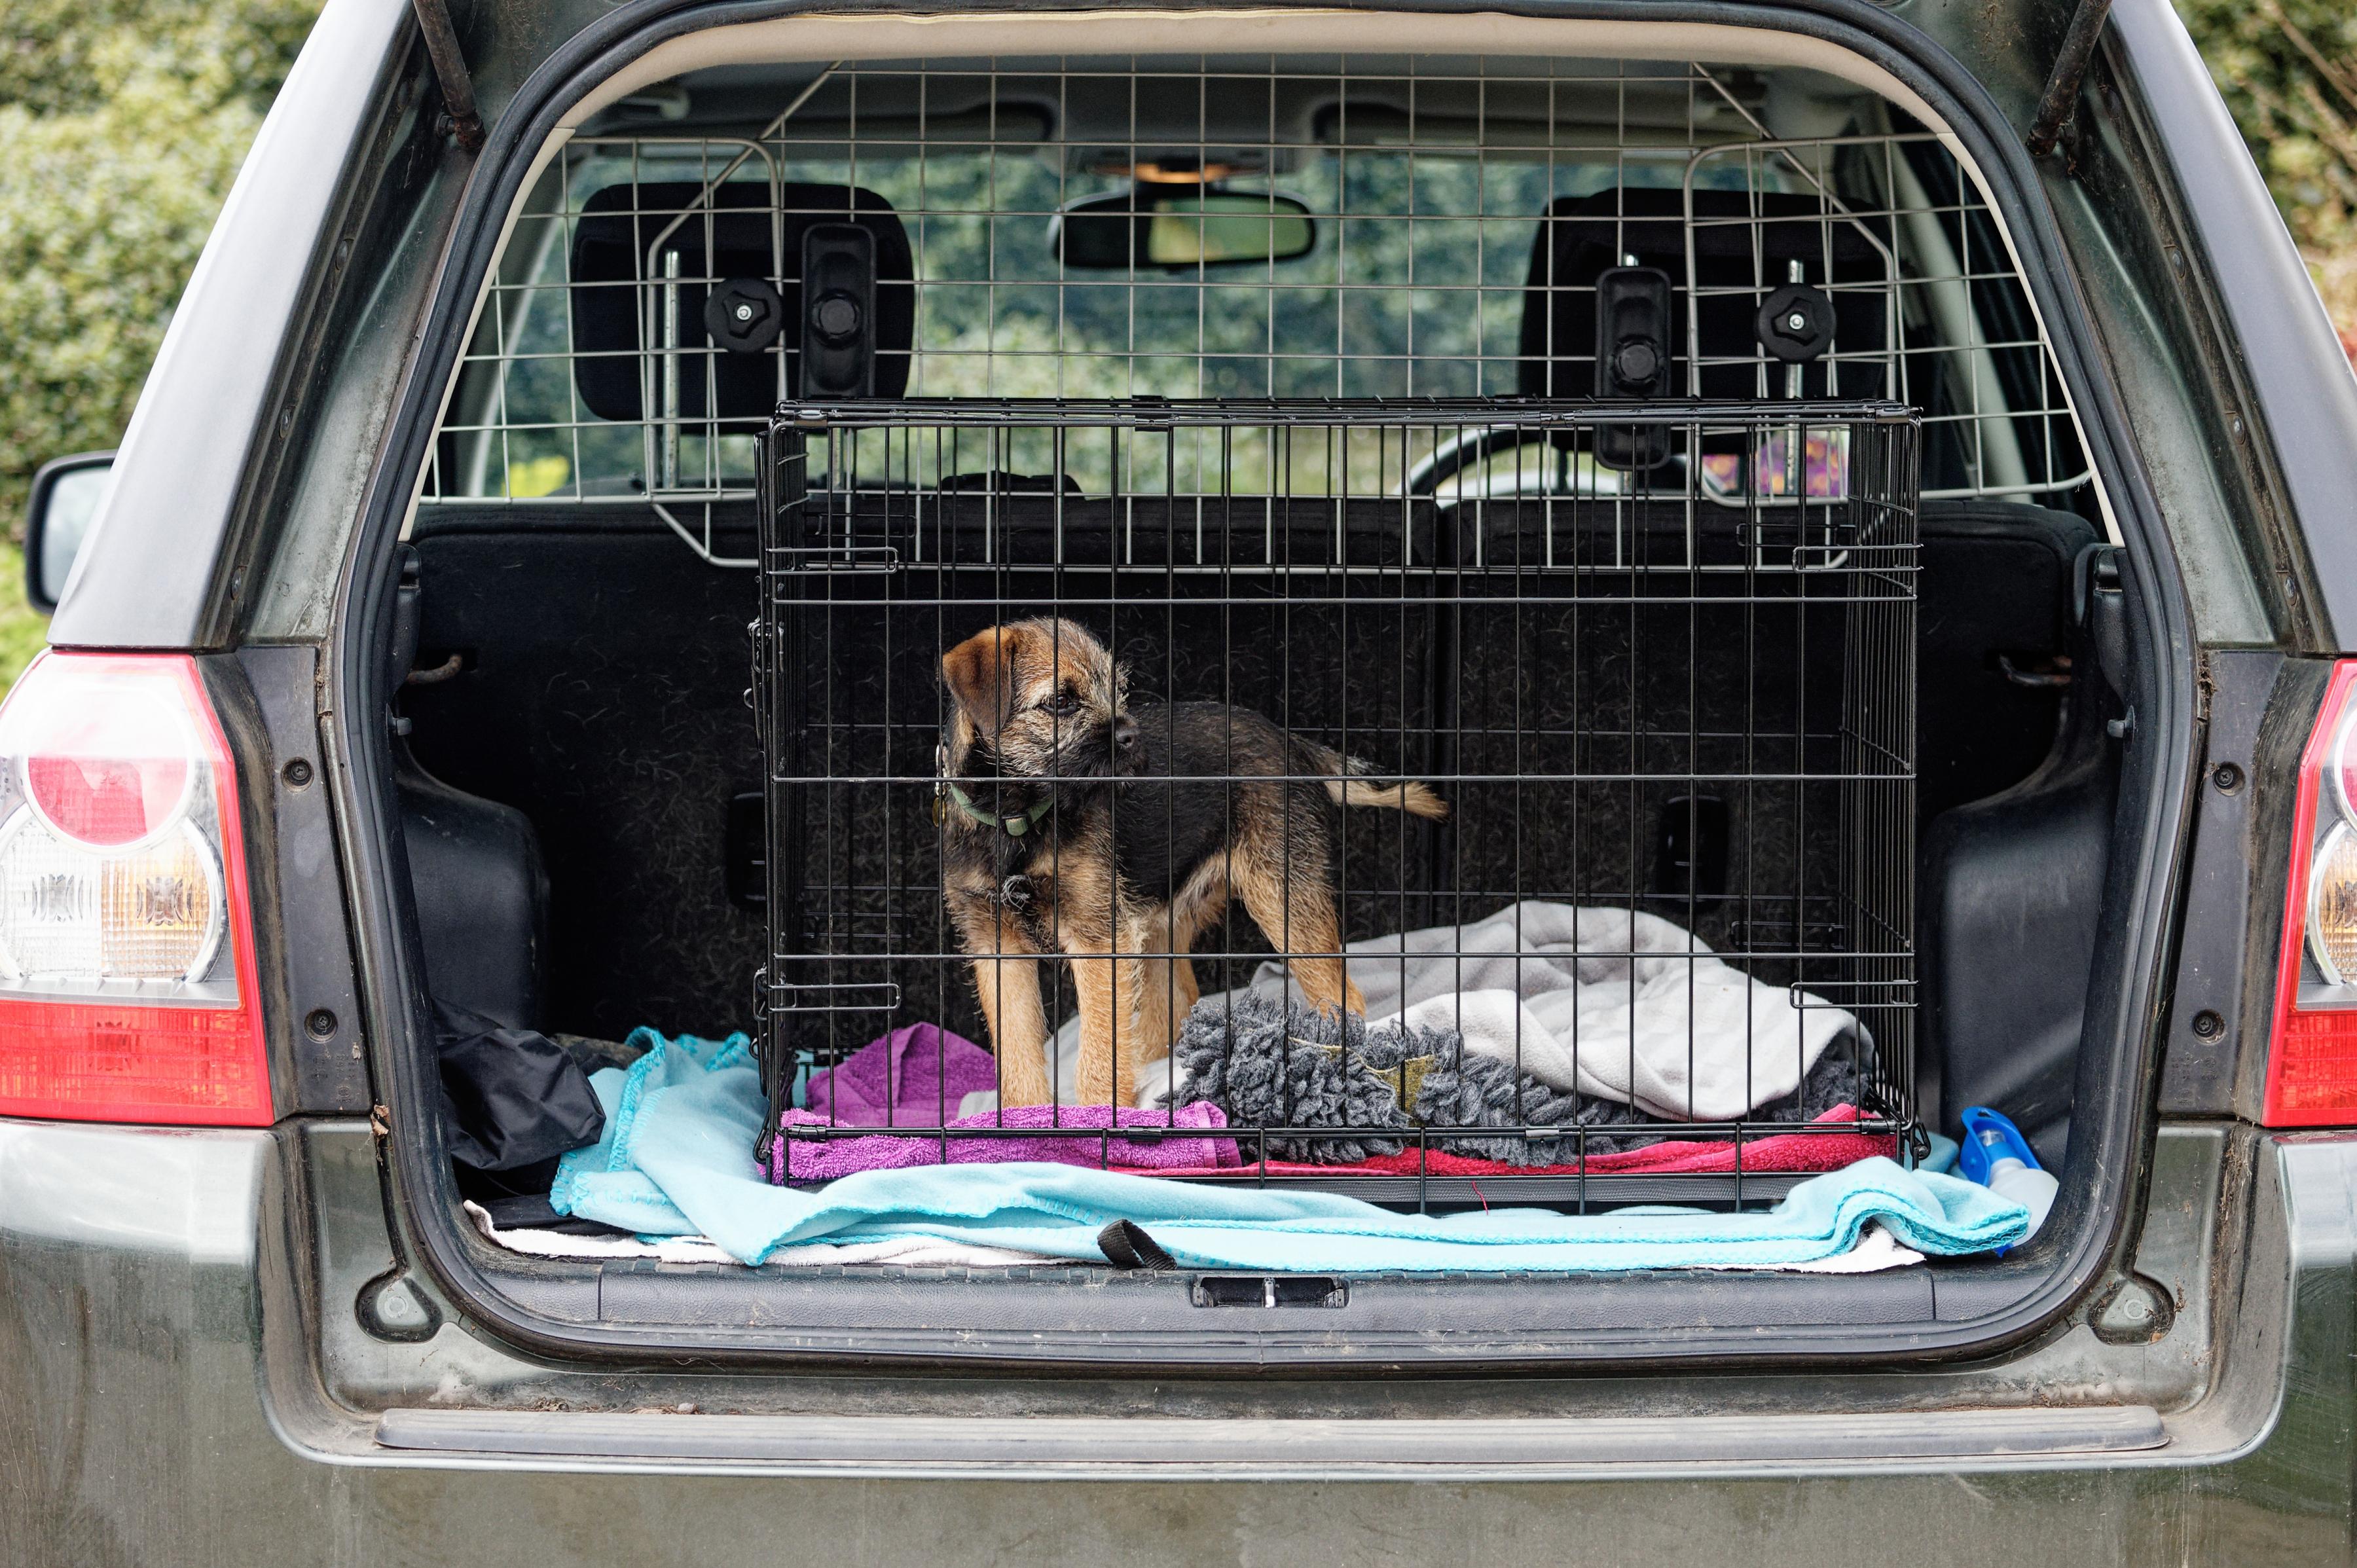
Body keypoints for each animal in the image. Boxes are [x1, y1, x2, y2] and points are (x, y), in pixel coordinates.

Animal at [933, 617, 1442, 1108]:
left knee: (1342, 995)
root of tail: (1290, 743)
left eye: (1118, 690)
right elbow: (1017, 1050)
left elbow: (1099, 1050)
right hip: (1163, 926)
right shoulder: (997, 944)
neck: (1015, 818)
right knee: (1175, 1011)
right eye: (1061, 701)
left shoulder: (1099, 939)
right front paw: (1027, 1116)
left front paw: (1096, 1113)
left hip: (1284, 898)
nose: (1131, 736)